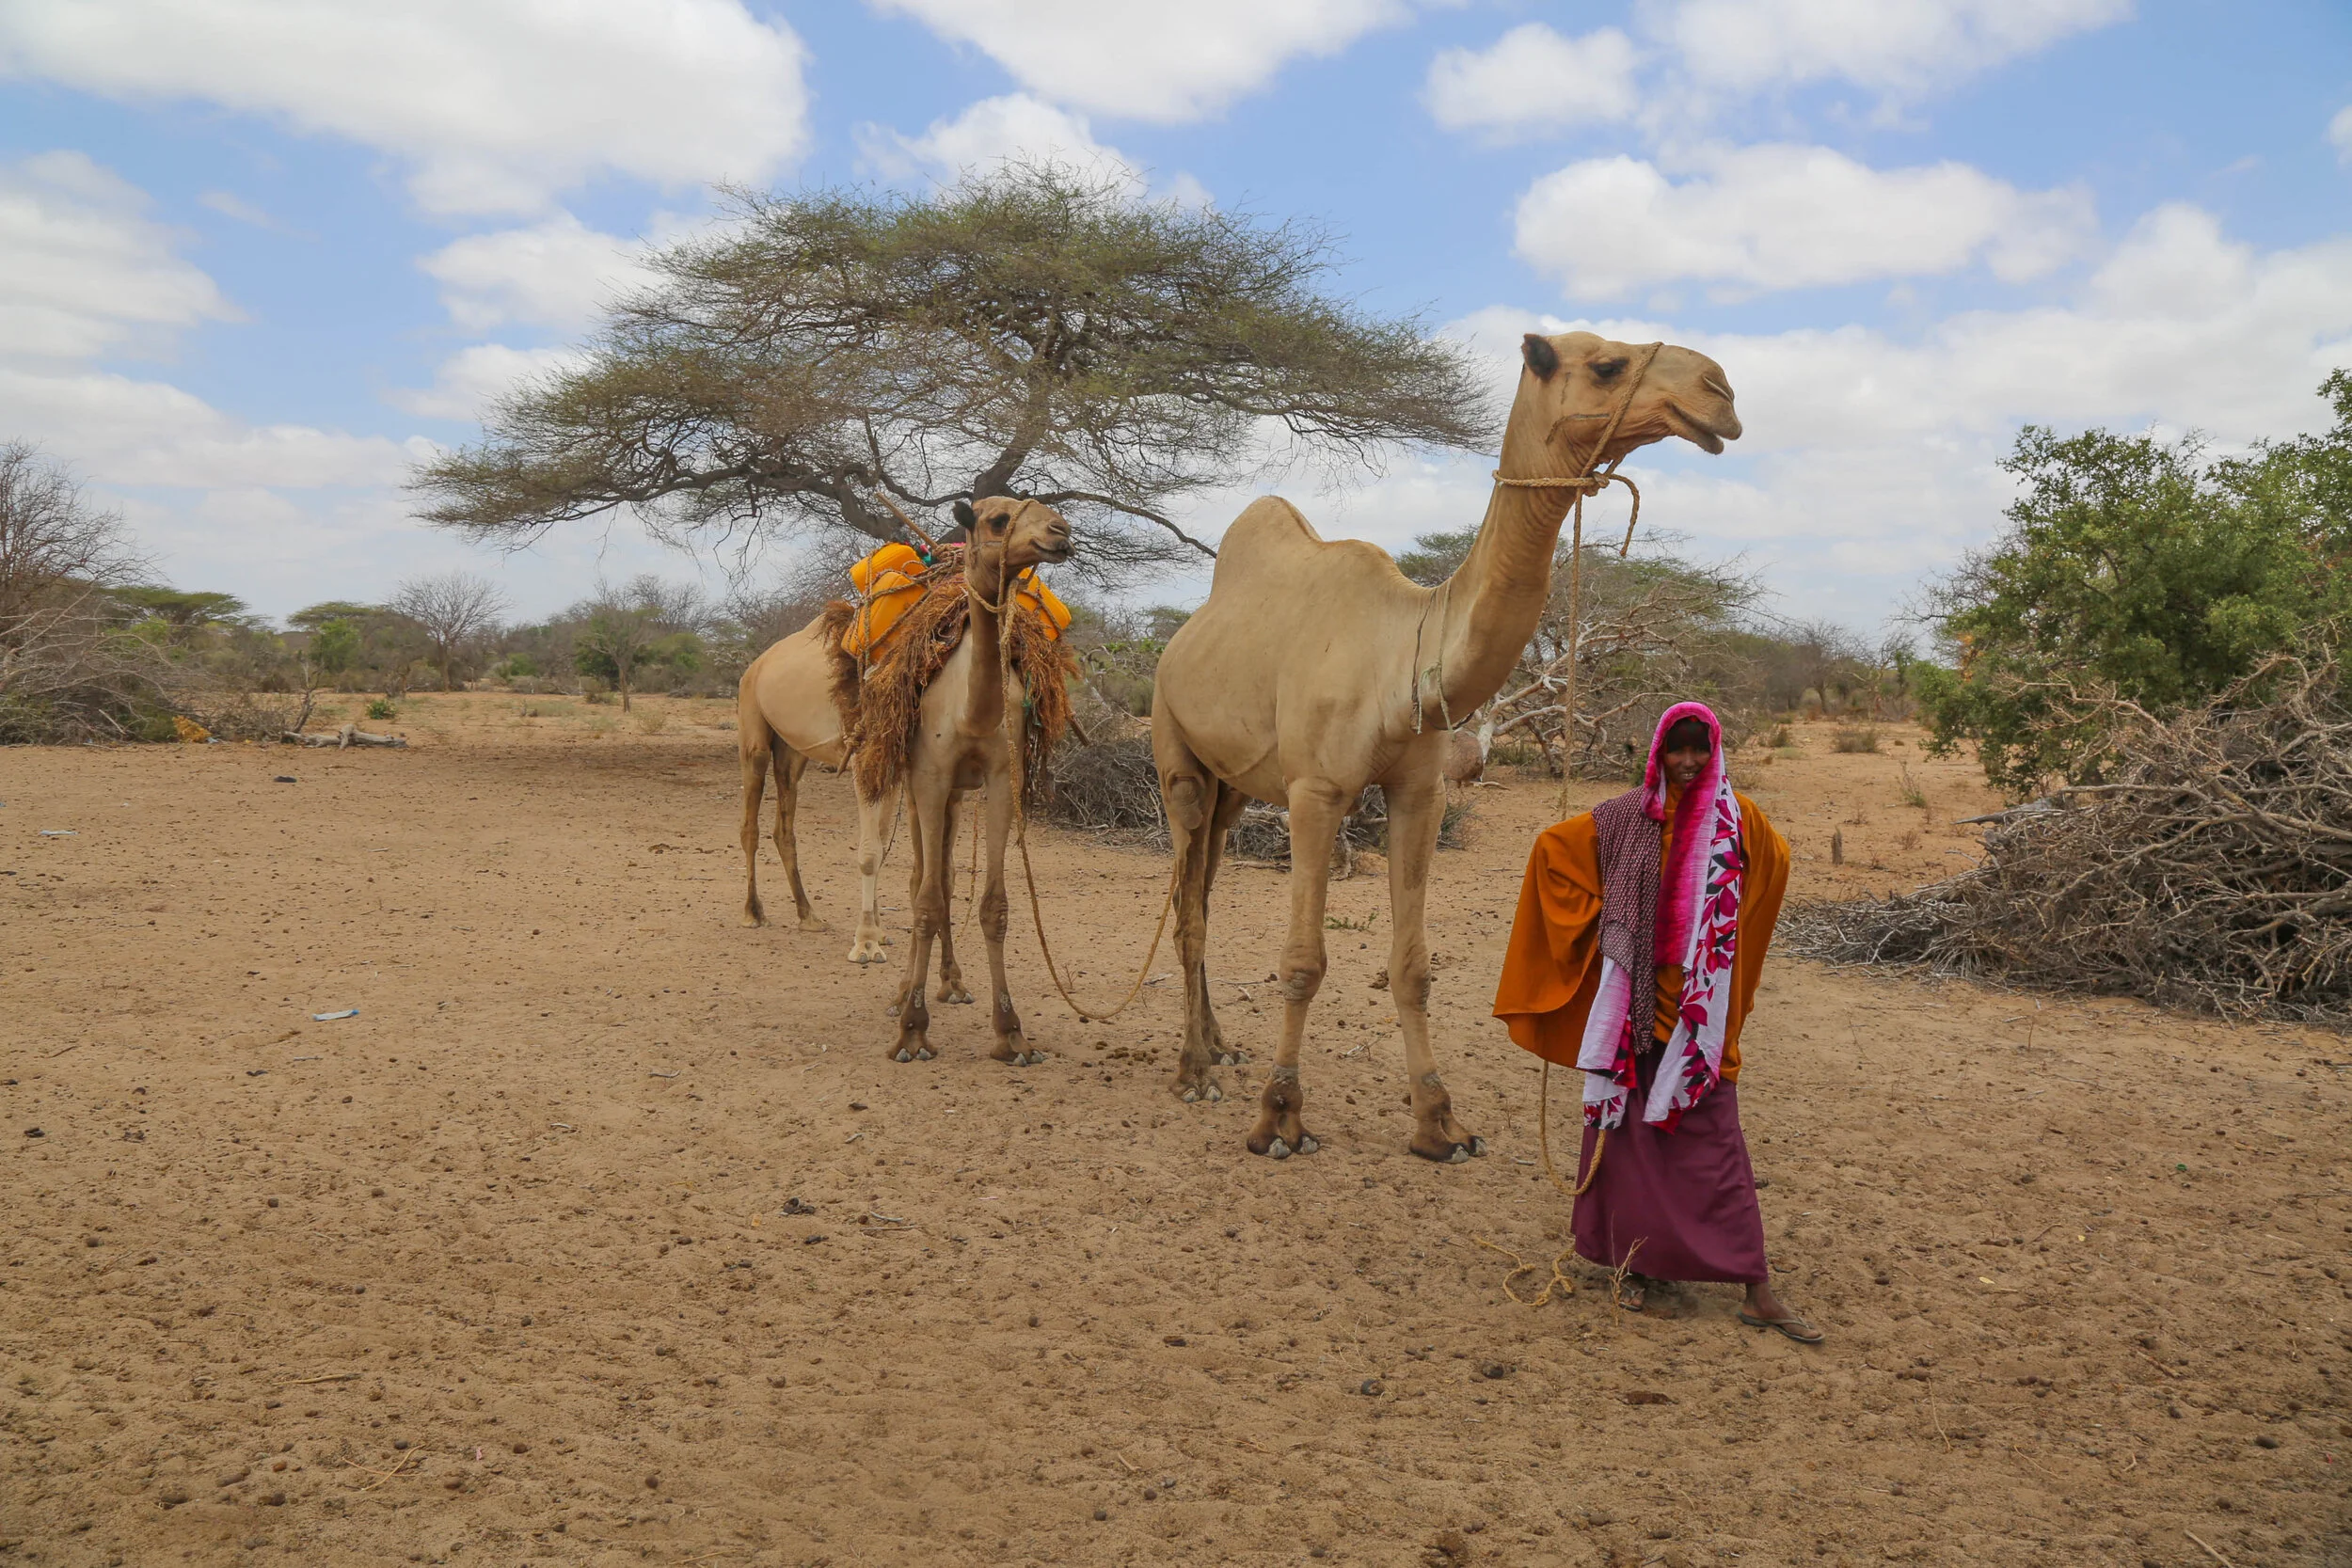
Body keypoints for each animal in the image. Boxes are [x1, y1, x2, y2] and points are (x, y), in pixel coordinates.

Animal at [886, 496, 1073, 1066]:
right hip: (916, 786)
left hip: (954, 796)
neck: (970, 711)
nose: (1061, 532)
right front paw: (911, 1031)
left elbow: (994, 906)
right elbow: (924, 900)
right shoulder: (929, 775)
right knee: (921, 879)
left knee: (945, 875)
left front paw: (1011, 1033)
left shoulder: (999, 777)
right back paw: (904, 992)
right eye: (997, 520)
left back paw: (952, 983)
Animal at [1150, 331, 1742, 1161]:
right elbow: (1303, 962)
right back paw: (1194, 1068)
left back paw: (1219, 1044)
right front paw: (1279, 1116)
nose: (1720, 392)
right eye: (1605, 364)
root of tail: (1177, 643)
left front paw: (1439, 1122)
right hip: (1175, 752)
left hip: (1231, 785)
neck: (1399, 651)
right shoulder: (1315, 792)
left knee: (1199, 887)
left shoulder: (1419, 791)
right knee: (1189, 901)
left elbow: (1413, 967)